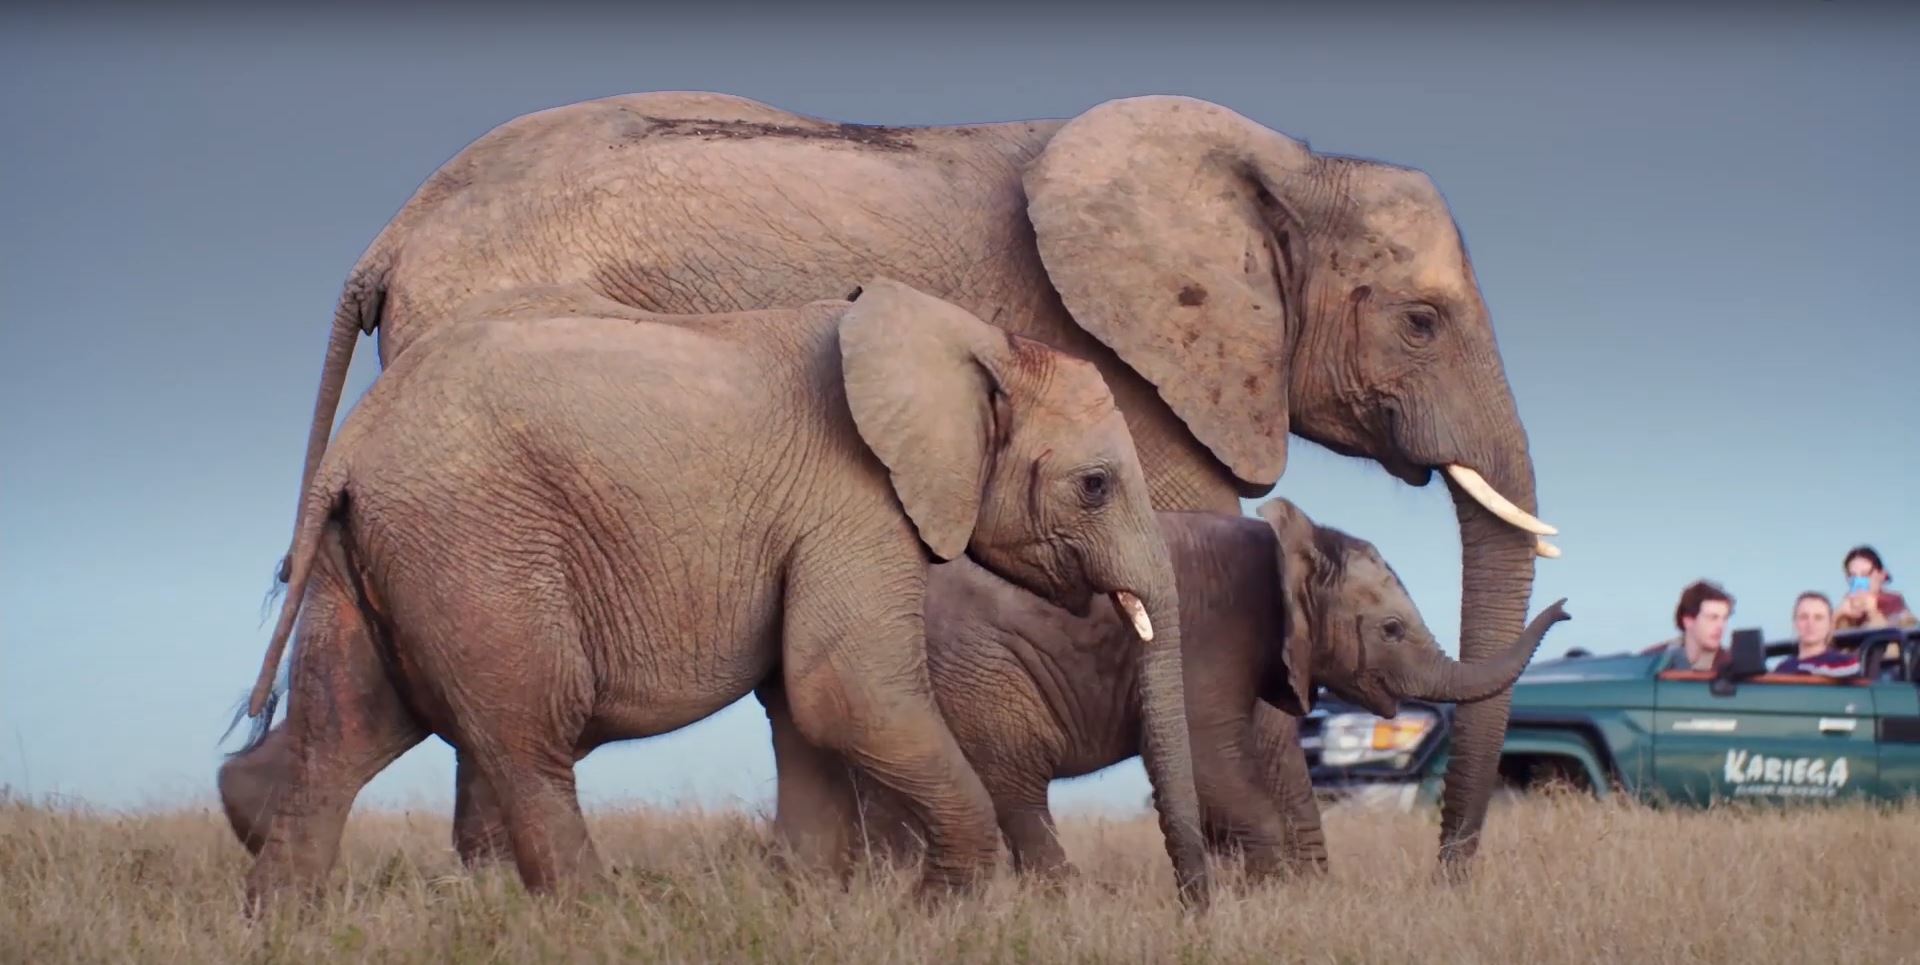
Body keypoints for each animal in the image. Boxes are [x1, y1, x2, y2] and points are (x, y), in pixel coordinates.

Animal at [228, 280, 1213, 913]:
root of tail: (354, 443)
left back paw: (280, 920)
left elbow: (801, 706)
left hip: (376, 551)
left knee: (347, 728)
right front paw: (947, 909)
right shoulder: (852, 500)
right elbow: (844, 691)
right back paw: (597, 919)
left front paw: (809, 904)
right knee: (526, 732)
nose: (1194, 905)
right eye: (1095, 486)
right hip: (477, 542)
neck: (978, 340)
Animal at [764, 498, 1574, 882]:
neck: (1283, 542)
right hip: (976, 674)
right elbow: (1214, 769)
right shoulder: (1206, 640)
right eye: (1394, 630)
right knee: (1015, 791)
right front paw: (1265, 899)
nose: (1567, 610)